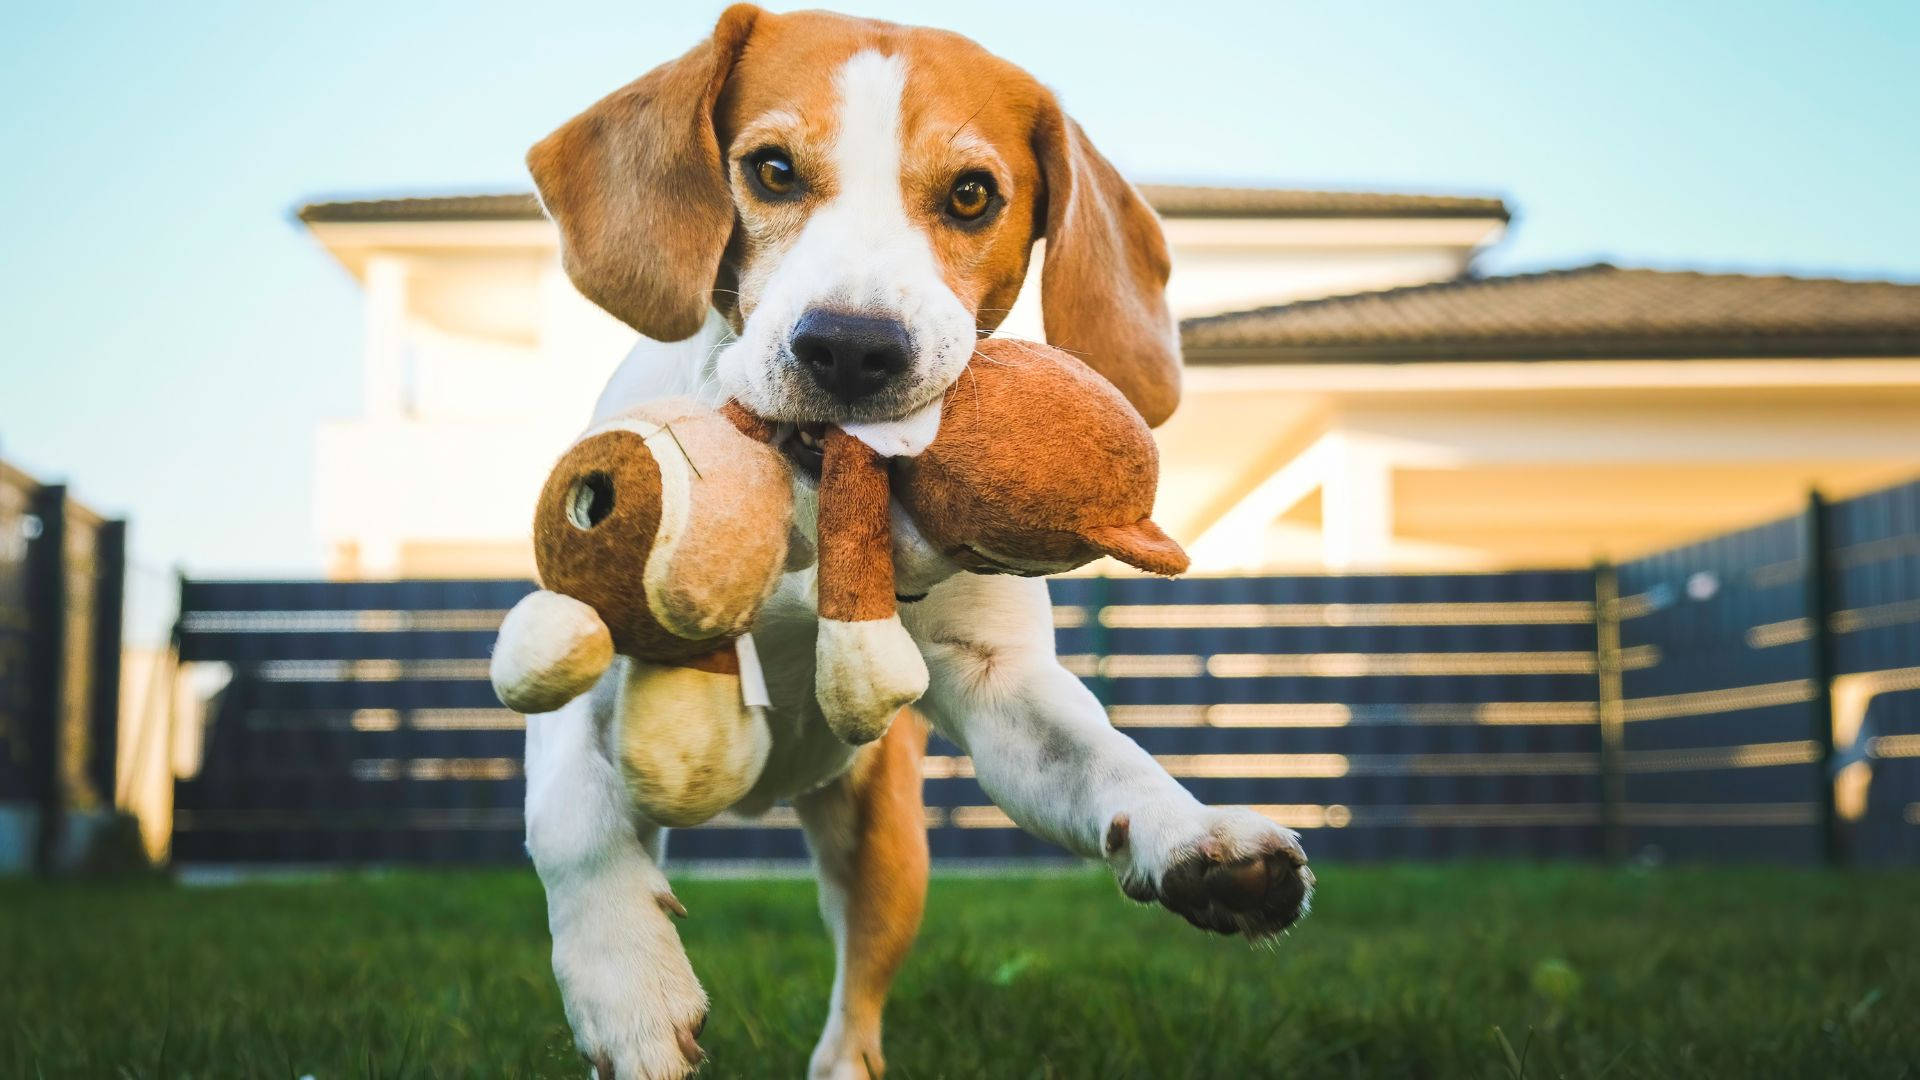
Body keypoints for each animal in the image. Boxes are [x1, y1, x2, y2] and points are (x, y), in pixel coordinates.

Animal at [518, 6, 1313, 1068]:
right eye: (771, 170)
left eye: (972, 195)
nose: (852, 346)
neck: (812, 499)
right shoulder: (583, 647)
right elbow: (569, 818)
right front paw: (626, 986)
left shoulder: (999, 686)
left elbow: (1107, 759)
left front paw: (1191, 839)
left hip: (885, 849)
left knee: (856, 1000)